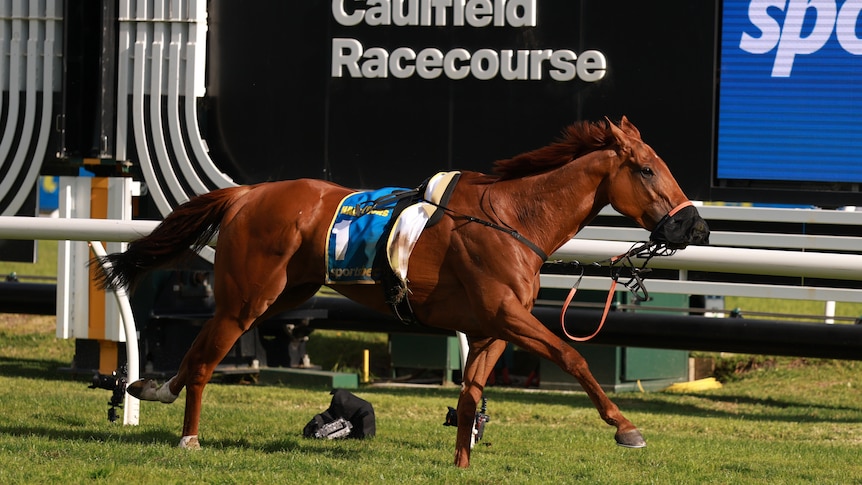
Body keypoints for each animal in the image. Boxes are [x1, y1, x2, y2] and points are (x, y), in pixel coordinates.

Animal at [93, 116, 709, 468]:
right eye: (648, 170)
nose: (696, 227)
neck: (513, 218)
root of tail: (245, 194)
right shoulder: (508, 315)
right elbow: (573, 356)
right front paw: (626, 428)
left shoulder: (494, 325)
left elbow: (471, 395)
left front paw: (462, 463)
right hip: (250, 297)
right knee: (204, 358)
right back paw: (188, 437)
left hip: (285, 294)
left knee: (199, 348)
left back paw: (152, 390)